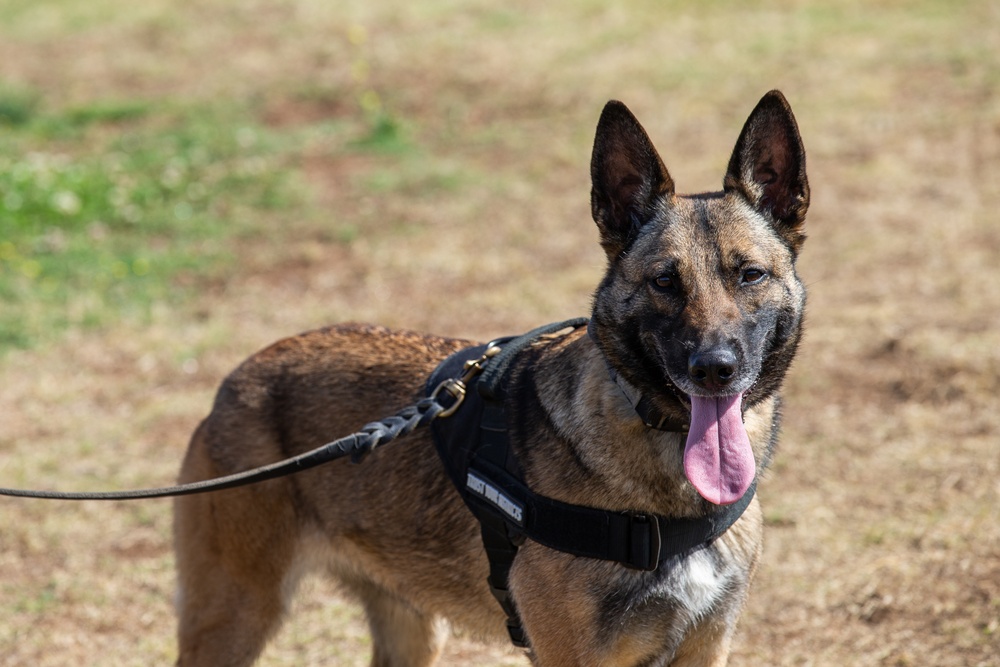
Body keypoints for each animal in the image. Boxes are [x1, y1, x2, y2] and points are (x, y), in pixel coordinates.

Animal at [176, 90, 808, 667]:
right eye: (664, 281)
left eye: (750, 275)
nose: (715, 369)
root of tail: (240, 375)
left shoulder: (706, 647)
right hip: (234, 617)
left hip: (409, 631)